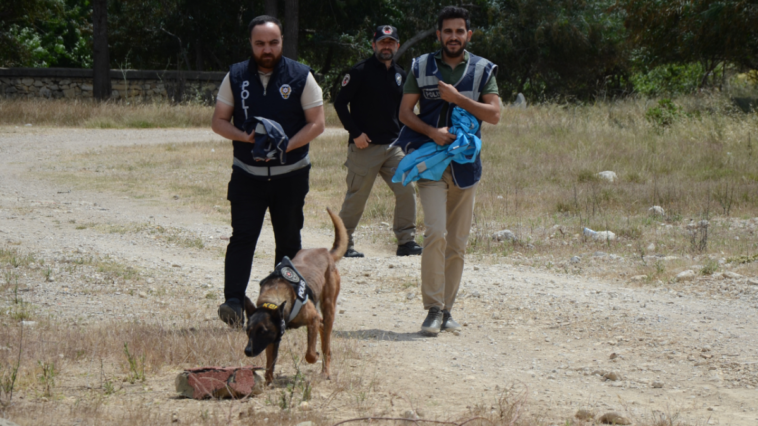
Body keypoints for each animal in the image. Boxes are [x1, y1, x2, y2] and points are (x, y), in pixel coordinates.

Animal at [243, 208, 348, 384]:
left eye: (262, 331)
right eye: (247, 330)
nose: (247, 351)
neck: (275, 295)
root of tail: (326, 252)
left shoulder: (311, 318)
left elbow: (310, 354)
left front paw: (314, 356)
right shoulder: (274, 338)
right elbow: (270, 364)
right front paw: (268, 383)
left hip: (329, 308)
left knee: (326, 346)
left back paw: (325, 371)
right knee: (322, 330)